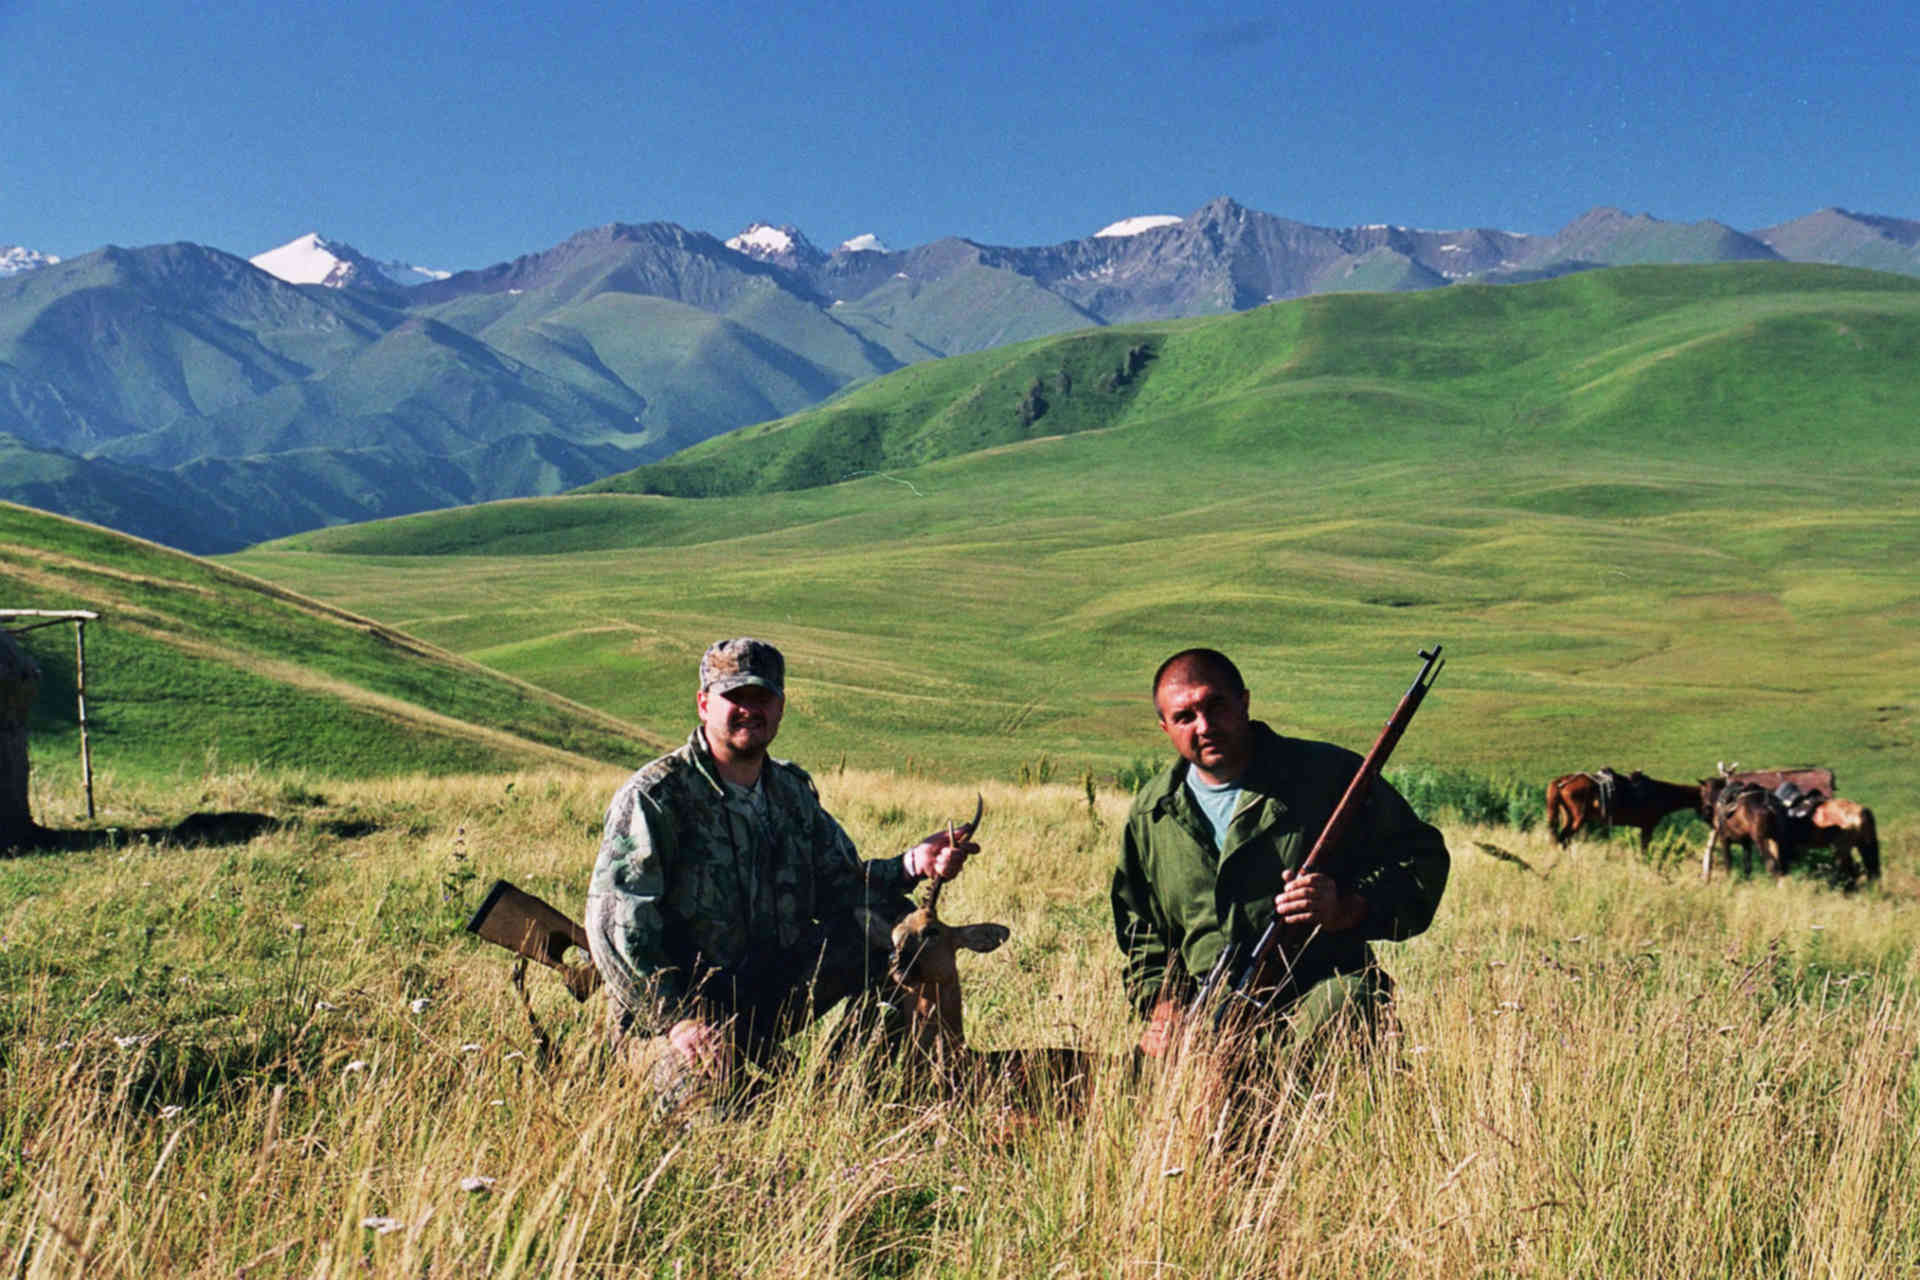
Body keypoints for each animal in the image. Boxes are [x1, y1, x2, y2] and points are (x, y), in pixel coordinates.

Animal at [1543, 771, 1712, 852]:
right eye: (1707, 798)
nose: (1711, 819)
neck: (1660, 793)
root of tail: (1562, 781)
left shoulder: (1644, 828)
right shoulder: (1648, 826)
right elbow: (1644, 850)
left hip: (1567, 817)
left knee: (1561, 839)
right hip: (1578, 819)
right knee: (1563, 838)